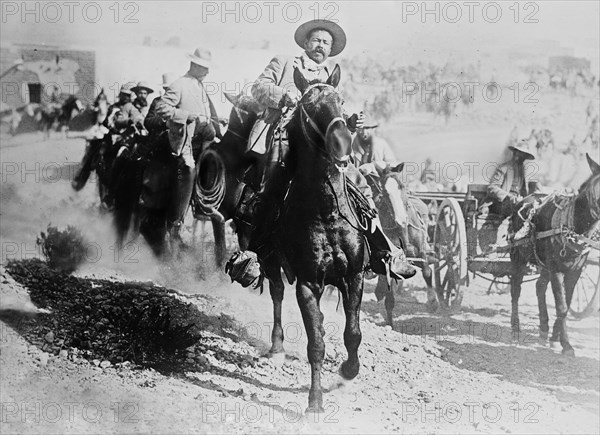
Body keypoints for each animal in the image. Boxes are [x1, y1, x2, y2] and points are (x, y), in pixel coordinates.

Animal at [258, 66, 364, 414]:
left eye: (340, 100)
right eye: (309, 106)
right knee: (277, 293)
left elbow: (353, 333)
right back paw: (276, 348)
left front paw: (348, 370)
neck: (326, 212)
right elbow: (315, 343)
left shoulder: (354, 276)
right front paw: (314, 402)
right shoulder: (307, 283)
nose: (342, 142)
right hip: (269, 261)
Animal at [360, 162, 436, 326]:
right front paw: (390, 323)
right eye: (384, 191)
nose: (401, 219)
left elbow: (427, 272)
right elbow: (389, 294)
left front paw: (433, 301)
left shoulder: (421, 251)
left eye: (402, 186)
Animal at [510, 153, 600, 354]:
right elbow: (562, 306)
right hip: (518, 257)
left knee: (539, 287)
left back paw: (544, 328)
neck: (572, 225)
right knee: (516, 290)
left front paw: (555, 338)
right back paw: (515, 326)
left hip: (544, 265)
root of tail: (526, 198)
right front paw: (566, 345)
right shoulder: (557, 270)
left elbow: (566, 301)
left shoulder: (575, 271)